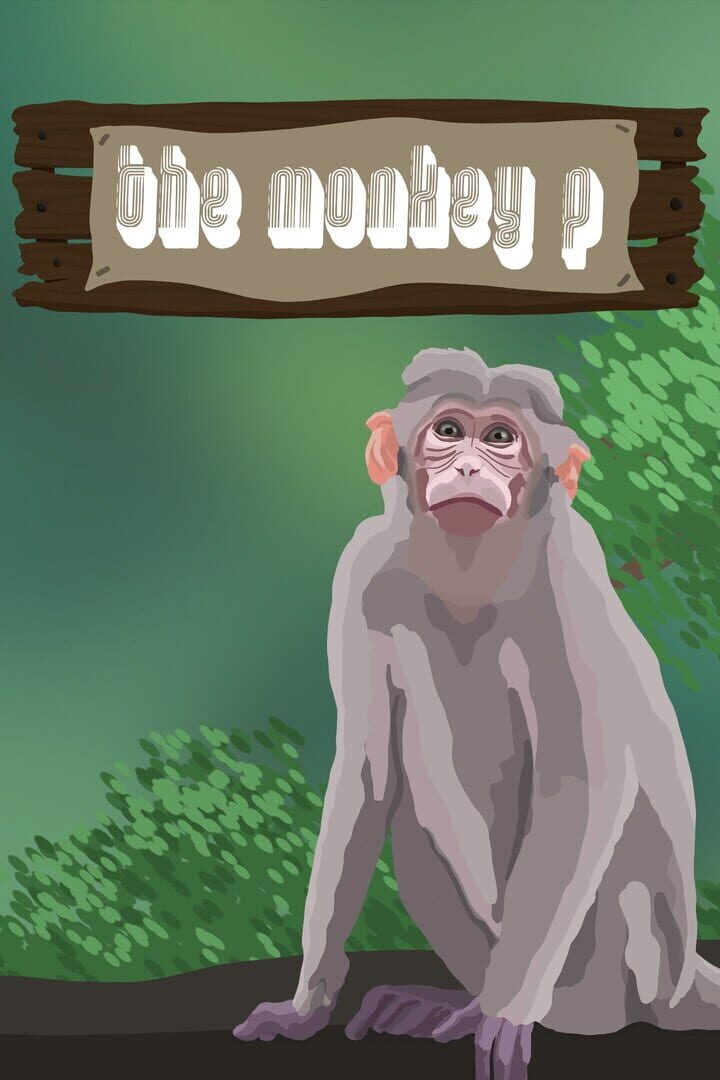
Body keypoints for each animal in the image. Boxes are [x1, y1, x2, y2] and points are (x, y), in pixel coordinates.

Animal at [234, 347, 720, 1077]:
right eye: (448, 431)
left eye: (498, 438)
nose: (467, 468)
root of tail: (683, 980)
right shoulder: (362, 571)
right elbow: (368, 776)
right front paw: (304, 1006)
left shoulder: (568, 579)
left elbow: (581, 786)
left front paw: (503, 1017)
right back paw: (456, 1007)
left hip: (624, 963)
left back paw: (498, 1008)